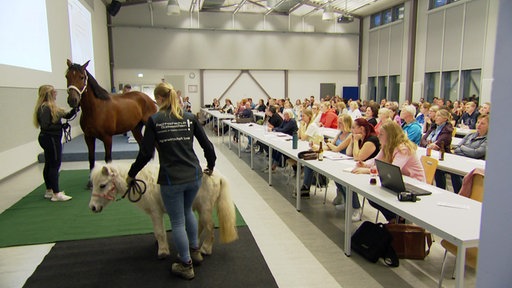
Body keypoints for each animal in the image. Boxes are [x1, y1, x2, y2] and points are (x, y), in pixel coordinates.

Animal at [89, 162, 239, 258]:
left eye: (102, 185)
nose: (92, 207)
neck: (143, 182)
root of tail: (217, 175)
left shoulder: (155, 212)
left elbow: (159, 232)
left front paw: (162, 251)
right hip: (200, 208)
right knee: (201, 224)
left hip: (205, 208)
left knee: (210, 226)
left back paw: (206, 249)